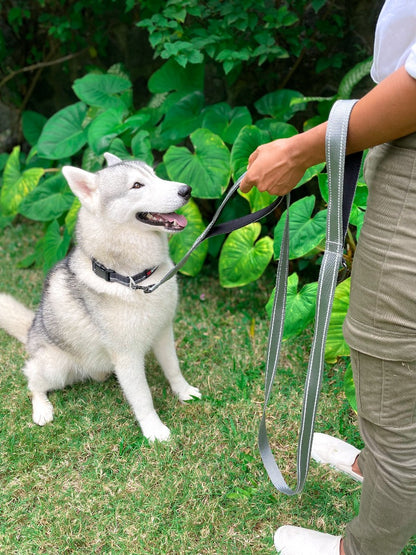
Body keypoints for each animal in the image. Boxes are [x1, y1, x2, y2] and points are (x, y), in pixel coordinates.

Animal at [0, 153, 200, 444]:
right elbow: (143, 397)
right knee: (32, 380)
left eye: (154, 174)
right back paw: (42, 408)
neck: (134, 278)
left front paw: (183, 392)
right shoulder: (127, 355)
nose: (186, 190)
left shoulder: (164, 330)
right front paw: (153, 430)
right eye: (137, 185)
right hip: (54, 366)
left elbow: (173, 367)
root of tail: (31, 330)